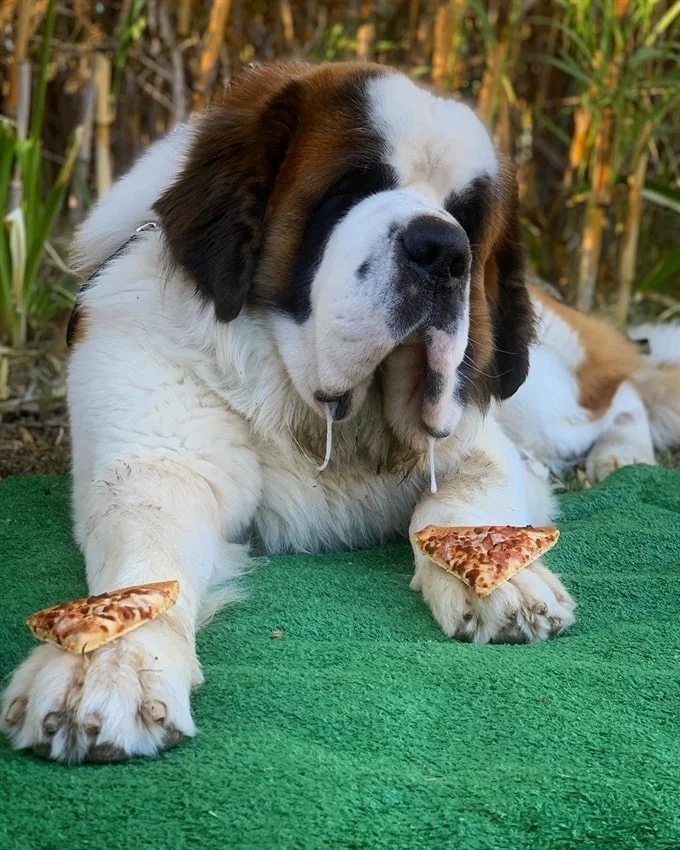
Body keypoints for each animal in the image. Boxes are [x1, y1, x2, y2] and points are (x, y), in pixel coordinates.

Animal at [2, 61, 676, 760]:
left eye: (467, 216)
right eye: (352, 187)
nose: (443, 249)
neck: (321, 411)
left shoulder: (477, 440)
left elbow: (459, 497)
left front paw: (506, 576)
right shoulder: (158, 455)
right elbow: (146, 550)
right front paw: (103, 664)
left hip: (537, 395)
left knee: (622, 394)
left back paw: (622, 456)